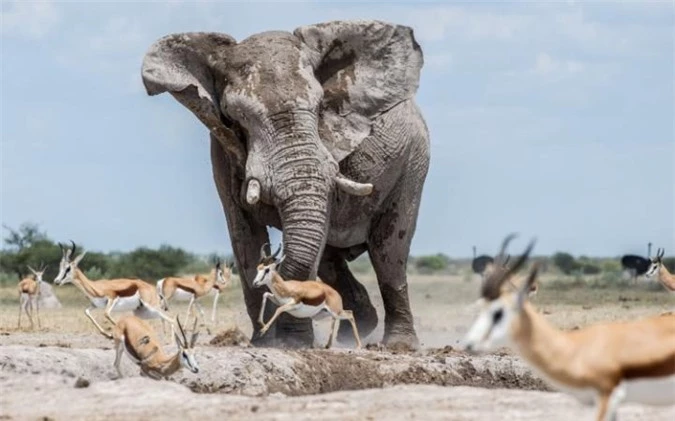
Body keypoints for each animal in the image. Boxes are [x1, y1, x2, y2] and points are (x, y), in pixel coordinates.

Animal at [140, 19, 430, 348]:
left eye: (319, 107)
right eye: (236, 115)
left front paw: (294, 344)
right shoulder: (222, 149)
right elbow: (243, 236)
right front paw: (265, 343)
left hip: (413, 162)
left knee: (388, 252)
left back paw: (398, 344)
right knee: (331, 259)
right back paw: (353, 327)